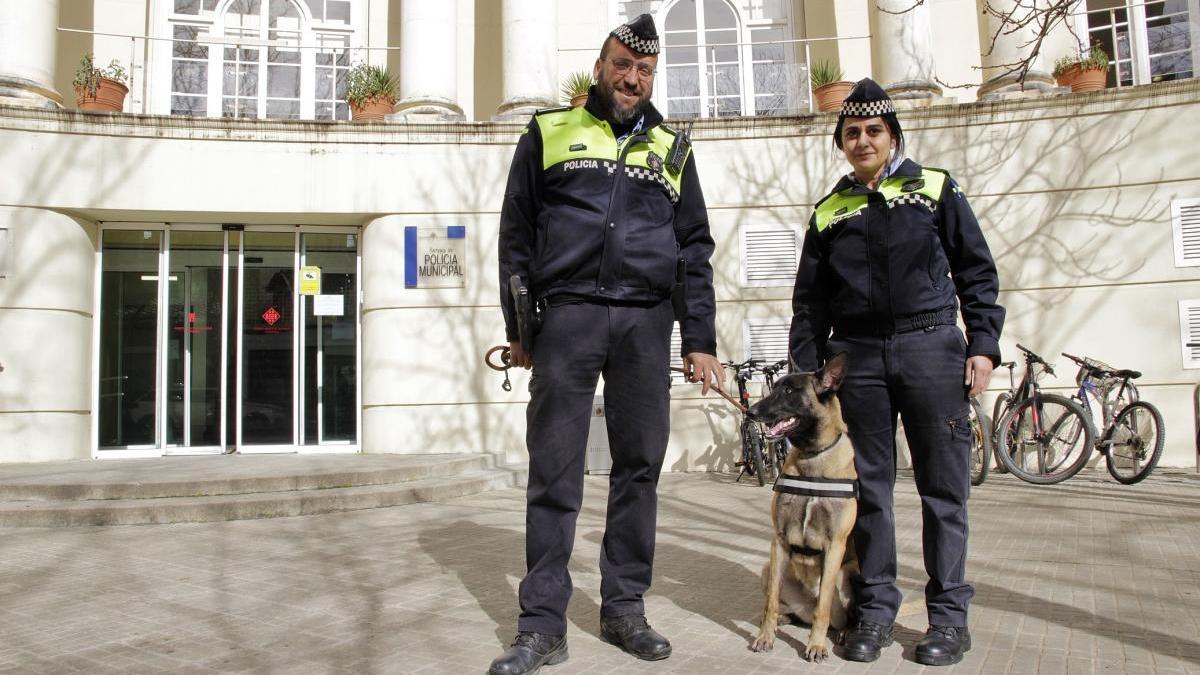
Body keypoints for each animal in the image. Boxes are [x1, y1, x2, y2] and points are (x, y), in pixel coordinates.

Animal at [744, 355, 859, 658]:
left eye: (789, 391)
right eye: (775, 387)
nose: (750, 412)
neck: (812, 456)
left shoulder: (835, 546)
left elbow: (823, 608)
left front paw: (816, 645)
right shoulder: (779, 541)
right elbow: (770, 601)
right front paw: (765, 636)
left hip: (847, 573)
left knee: (835, 613)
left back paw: (845, 632)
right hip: (768, 568)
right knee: (786, 608)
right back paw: (782, 619)